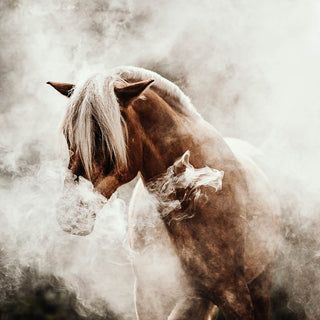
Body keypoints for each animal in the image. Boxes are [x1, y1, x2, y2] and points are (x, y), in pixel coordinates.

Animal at [47, 66, 280, 318]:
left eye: (103, 137)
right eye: (68, 135)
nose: (70, 215)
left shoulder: (234, 296)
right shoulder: (149, 298)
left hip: (259, 284)